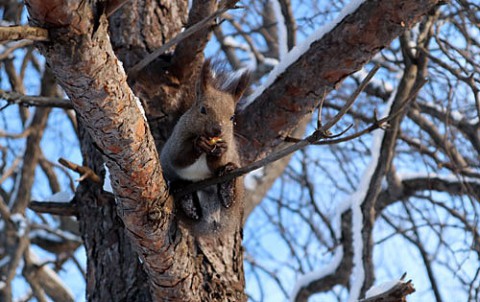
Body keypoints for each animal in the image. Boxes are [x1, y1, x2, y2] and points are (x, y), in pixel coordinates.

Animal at [161, 60, 251, 232]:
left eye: (232, 117)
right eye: (202, 109)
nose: (217, 129)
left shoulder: (230, 149)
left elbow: (217, 164)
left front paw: (220, 151)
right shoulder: (176, 141)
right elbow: (179, 157)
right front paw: (198, 144)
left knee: (229, 203)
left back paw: (227, 186)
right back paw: (187, 200)